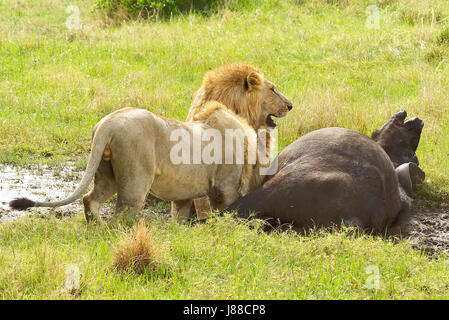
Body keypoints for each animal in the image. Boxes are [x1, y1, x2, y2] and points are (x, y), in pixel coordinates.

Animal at [9, 101, 266, 221]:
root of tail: (107, 123)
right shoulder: (224, 188)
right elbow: (226, 212)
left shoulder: (183, 196)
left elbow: (180, 216)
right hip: (136, 178)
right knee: (123, 211)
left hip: (106, 172)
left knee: (90, 199)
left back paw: (97, 229)